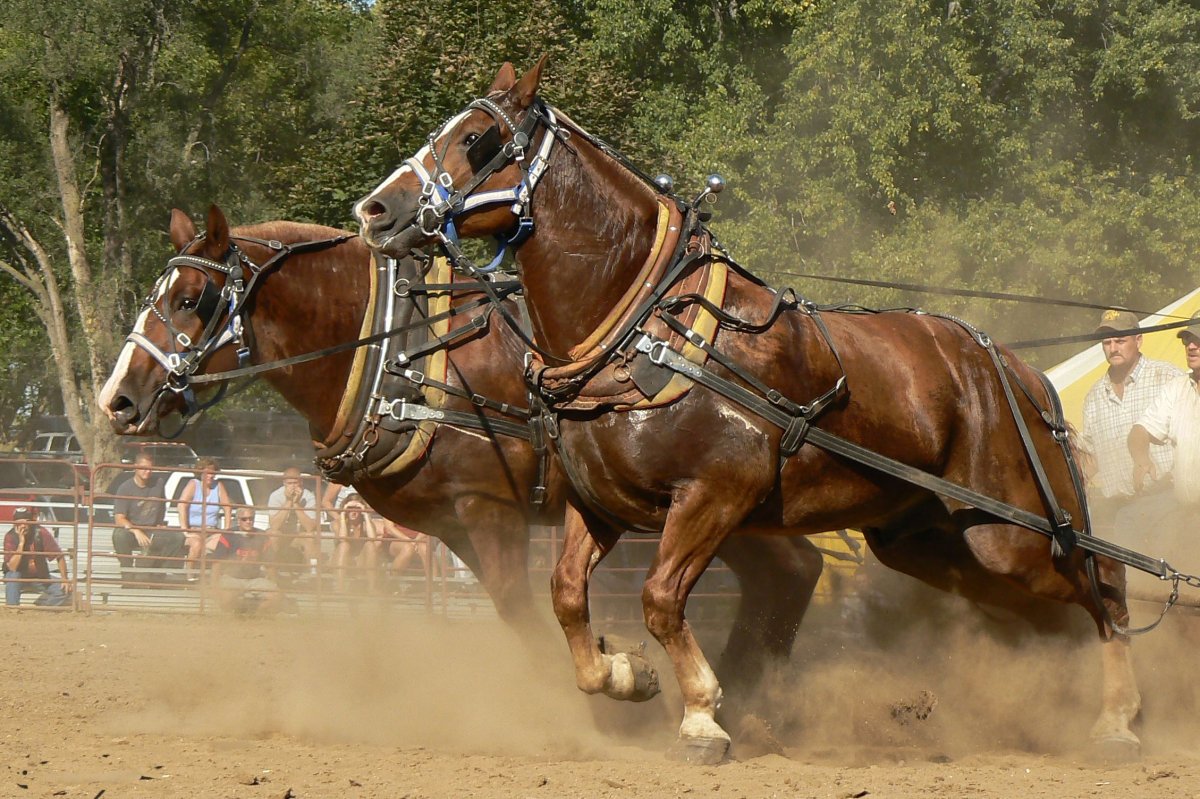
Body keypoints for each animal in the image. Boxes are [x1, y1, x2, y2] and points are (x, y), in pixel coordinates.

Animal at [97, 205, 825, 729]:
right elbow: (519, 617)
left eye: (191, 298)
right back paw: (754, 698)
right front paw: (607, 675)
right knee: (793, 571)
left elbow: (522, 608)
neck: (397, 350)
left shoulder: (488, 506)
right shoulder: (453, 526)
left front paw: (607, 686)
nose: (118, 398)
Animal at [352, 58, 1141, 763]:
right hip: (929, 538)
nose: (375, 211)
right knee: (1042, 615)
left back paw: (1118, 719)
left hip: (1012, 532)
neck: (648, 328)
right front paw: (624, 674)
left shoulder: (713, 495)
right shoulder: (600, 503)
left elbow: (660, 597)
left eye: (477, 138)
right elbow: (567, 594)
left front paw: (702, 715)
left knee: (1103, 587)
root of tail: (1018, 371)